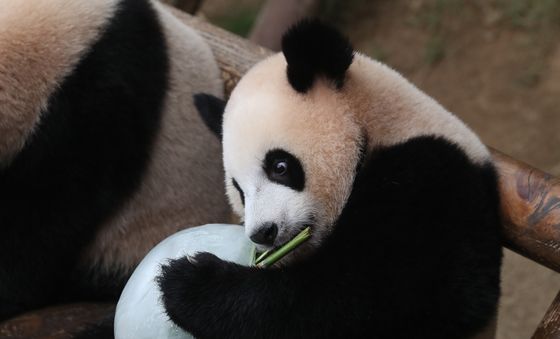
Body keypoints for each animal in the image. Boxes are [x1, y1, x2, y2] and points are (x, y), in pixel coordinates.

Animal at [159, 19, 504, 339]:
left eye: (280, 166)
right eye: (240, 193)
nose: (263, 233)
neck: (379, 123)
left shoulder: (434, 184)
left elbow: (368, 295)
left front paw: (188, 280)